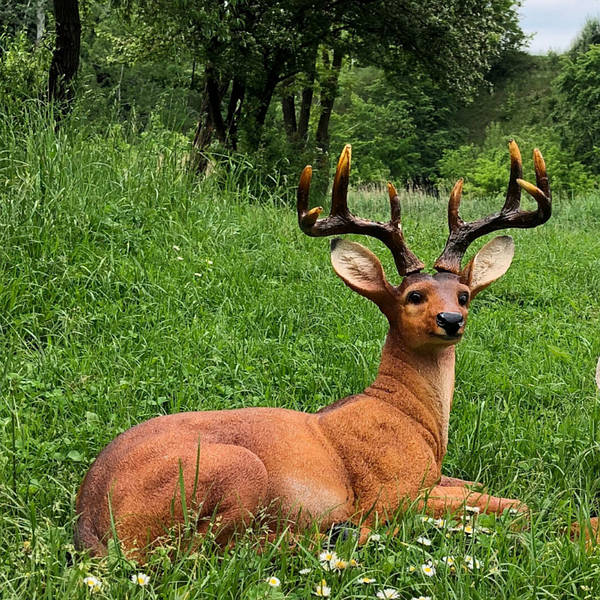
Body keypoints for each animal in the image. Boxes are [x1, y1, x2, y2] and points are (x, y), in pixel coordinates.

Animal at [76, 139, 552, 556]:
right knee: (198, 554)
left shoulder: (434, 479)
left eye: (464, 295)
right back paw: (337, 533)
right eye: (414, 296)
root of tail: (89, 519)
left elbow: (479, 487)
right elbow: (518, 506)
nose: (451, 320)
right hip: (236, 471)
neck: (409, 416)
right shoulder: (390, 492)